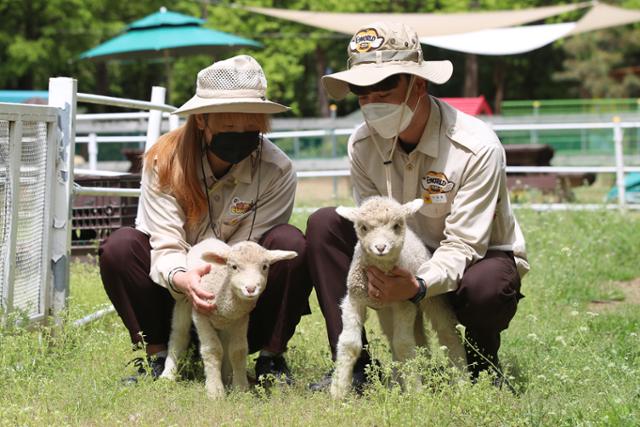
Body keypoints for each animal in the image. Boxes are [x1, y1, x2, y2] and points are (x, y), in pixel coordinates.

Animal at [160, 239, 300, 400]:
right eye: (234, 266)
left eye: (265, 267)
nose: (250, 289)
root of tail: (208, 240)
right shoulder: (200, 314)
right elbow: (212, 350)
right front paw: (215, 391)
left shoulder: (241, 319)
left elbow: (237, 351)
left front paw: (240, 388)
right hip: (185, 300)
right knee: (180, 334)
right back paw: (168, 374)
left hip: (225, 325)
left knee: (225, 347)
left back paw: (226, 378)